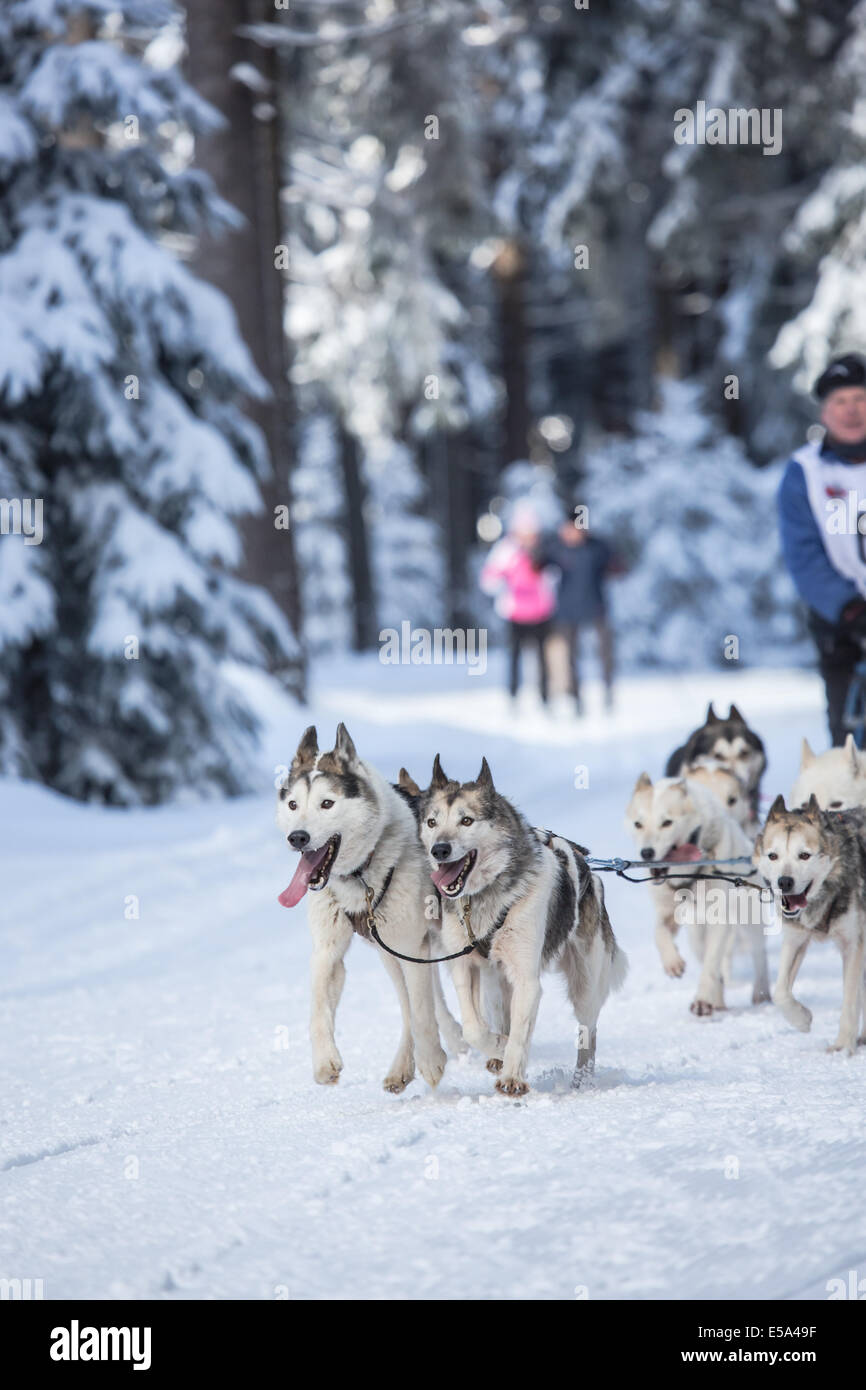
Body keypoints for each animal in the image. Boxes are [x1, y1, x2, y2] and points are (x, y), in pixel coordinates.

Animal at [276, 728, 461, 1095]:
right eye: (293, 804)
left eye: (327, 803)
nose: (297, 837)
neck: (359, 875)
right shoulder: (328, 950)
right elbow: (318, 1008)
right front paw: (324, 1063)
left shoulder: (411, 945)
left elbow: (421, 1010)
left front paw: (432, 1061)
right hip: (390, 952)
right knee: (412, 1002)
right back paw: (409, 1063)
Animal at [417, 756, 625, 1089]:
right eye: (432, 822)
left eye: (467, 821)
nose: (440, 849)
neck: (483, 898)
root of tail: (588, 868)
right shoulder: (463, 966)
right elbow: (474, 1028)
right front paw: (498, 1047)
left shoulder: (526, 977)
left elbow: (520, 1031)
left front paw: (512, 1077)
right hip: (495, 981)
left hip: (586, 982)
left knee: (588, 1030)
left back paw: (582, 1080)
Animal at [625, 767, 767, 1017]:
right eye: (638, 824)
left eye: (667, 822)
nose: (646, 853)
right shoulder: (668, 913)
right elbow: (659, 934)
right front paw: (672, 961)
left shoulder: (721, 920)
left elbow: (711, 964)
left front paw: (702, 998)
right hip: (696, 934)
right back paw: (718, 999)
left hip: (749, 921)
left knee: (758, 954)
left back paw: (761, 992)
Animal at [750, 795, 866, 1050]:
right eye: (773, 856)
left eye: (804, 855)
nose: (784, 882)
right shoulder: (796, 938)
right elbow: (780, 993)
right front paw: (802, 1019)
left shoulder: (853, 944)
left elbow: (850, 999)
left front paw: (843, 1045)